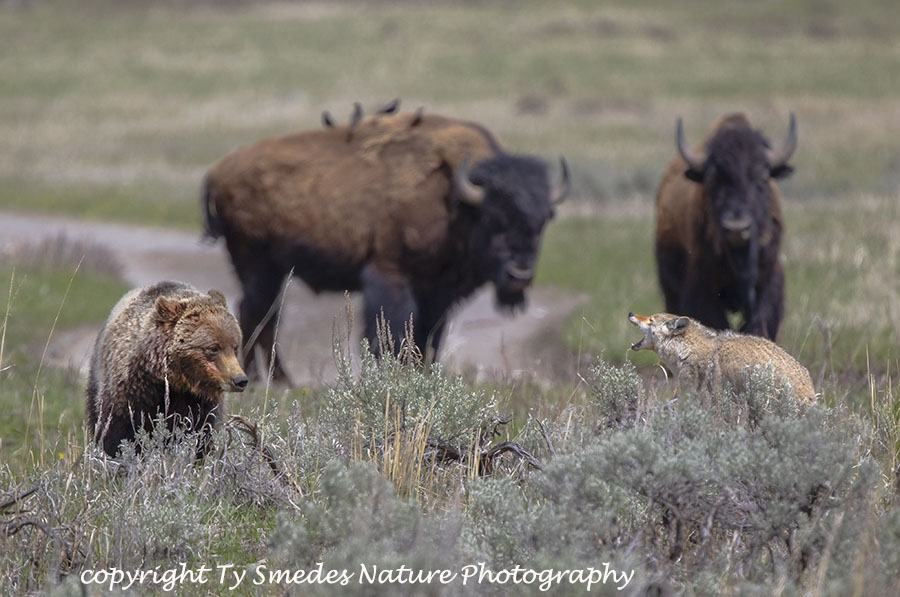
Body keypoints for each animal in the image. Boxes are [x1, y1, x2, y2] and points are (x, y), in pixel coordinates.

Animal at [86, 280, 248, 457]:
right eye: (213, 348)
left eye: (235, 346)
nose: (240, 380)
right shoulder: (130, 390)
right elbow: (117, 432)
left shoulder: (199, 402)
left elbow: (199, 432)